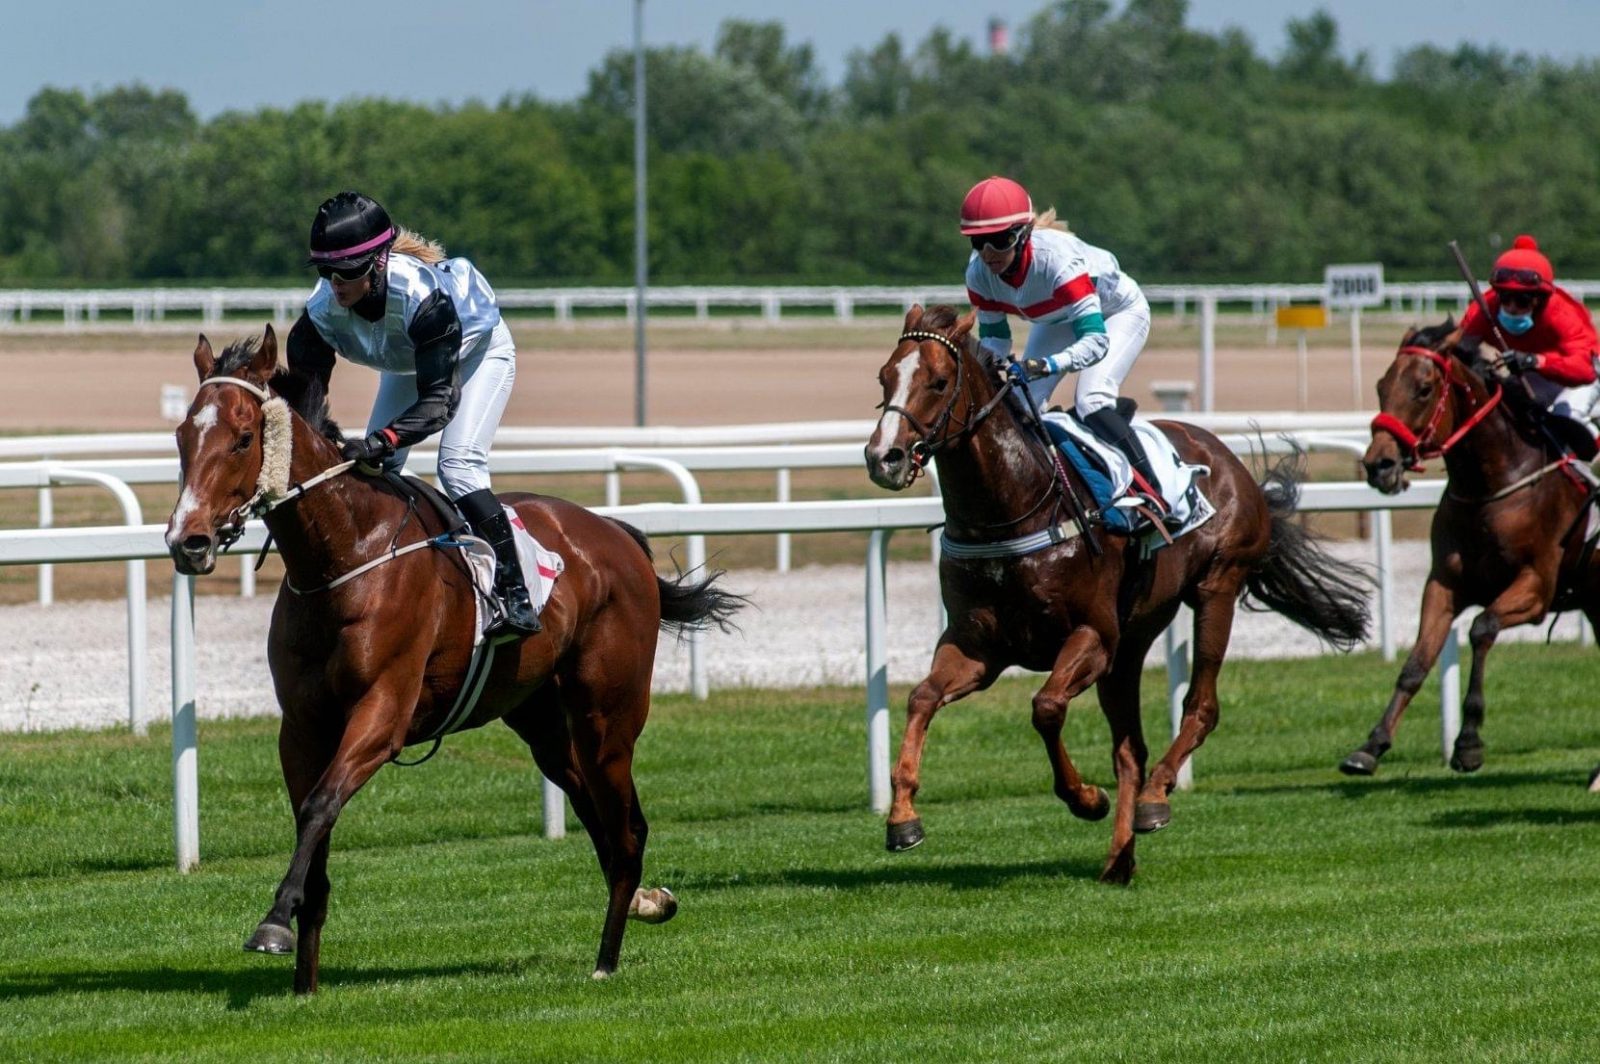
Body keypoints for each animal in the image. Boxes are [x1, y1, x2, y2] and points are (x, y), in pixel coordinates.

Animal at [165, 328, 739, 992]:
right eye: (181, 436)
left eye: (242, 437)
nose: (187, 541)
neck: (344, 555)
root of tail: (617, 535)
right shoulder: (303, 726)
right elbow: (316, 831)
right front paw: (304, 980)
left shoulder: (382, 713)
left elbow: (319, 806)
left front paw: (273, 924)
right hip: (542, 721)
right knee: (596, 813)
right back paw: (648, 902)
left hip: (607, 717)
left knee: (626, 831)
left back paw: (607, 959)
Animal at [864, 305, 1376, 876]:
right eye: (884, 377)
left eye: (937, 381)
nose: (883, 457)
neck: (1011, 507)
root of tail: (1227, 458)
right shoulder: (979, 647)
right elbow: (921, 698)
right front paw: (902, 817)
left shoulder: (1092, 635)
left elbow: (1046, 707)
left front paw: (1087, 798)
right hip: (1132, 643)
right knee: (1130, 749)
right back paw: (1120, 858)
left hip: (1215, 589)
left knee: (1201, 707)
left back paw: (1155, 797)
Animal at [1344, 320, 1593, 777]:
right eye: (1381, 385)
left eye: (1424, 389)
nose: (1378, 464)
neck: (1490, 485)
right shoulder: (1443, 583)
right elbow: (1417, 662)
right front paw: (1371, 745)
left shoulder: (1536, 587)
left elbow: (1481, 628)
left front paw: (1469, 742)